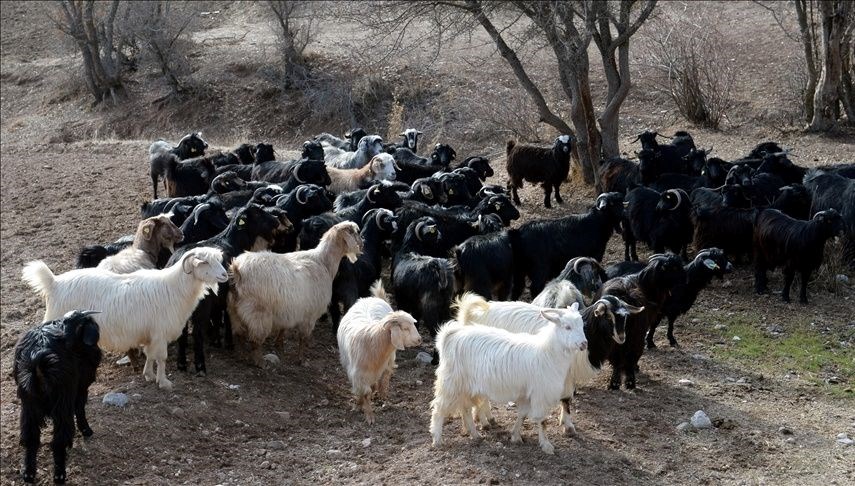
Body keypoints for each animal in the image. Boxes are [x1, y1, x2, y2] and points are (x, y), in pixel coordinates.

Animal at [22, 247, 227, 392]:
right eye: (205, 262)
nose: (225, 275)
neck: (174, 288)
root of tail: (53, 282)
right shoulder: (160, 333)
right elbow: (161, 358)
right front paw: (163, 382)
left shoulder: (150, 334)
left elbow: (150, 355)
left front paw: (148, 375)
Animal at [227, 220, 362, 364]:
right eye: (355, 233)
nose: (362, 244)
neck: (323, 262)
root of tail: (237, 270)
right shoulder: (309, 315)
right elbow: (302, 338)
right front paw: (301, 359)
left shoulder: (287, 311)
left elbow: (283, 330)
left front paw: (279, 346)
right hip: (257, 313)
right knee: (254, 341)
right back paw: (260, 362)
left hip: (234, 311)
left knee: (239, 335)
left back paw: (241, 356)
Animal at [340, 280, 422, 424]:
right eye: (405, 328)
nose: (419, 339)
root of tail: (372, 298)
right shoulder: (358, 374)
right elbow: (364, 393)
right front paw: (365, 411)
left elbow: (372, 388)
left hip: (388, 361)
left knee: (385, 376)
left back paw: (382, 393)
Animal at [428, 292, 588, 456]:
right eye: (567, 327)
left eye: (582, 325)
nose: (584, 344)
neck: (547, 352)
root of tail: (450, 336)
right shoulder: (540, 394)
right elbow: (542, 421)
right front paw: (546, 445)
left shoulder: (526, 393)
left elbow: (522, 415)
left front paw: (515, 436)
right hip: (451, 383)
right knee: (438, 409)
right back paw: (437, 439)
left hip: (466, 387)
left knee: (465, 409)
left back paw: (475, 435)